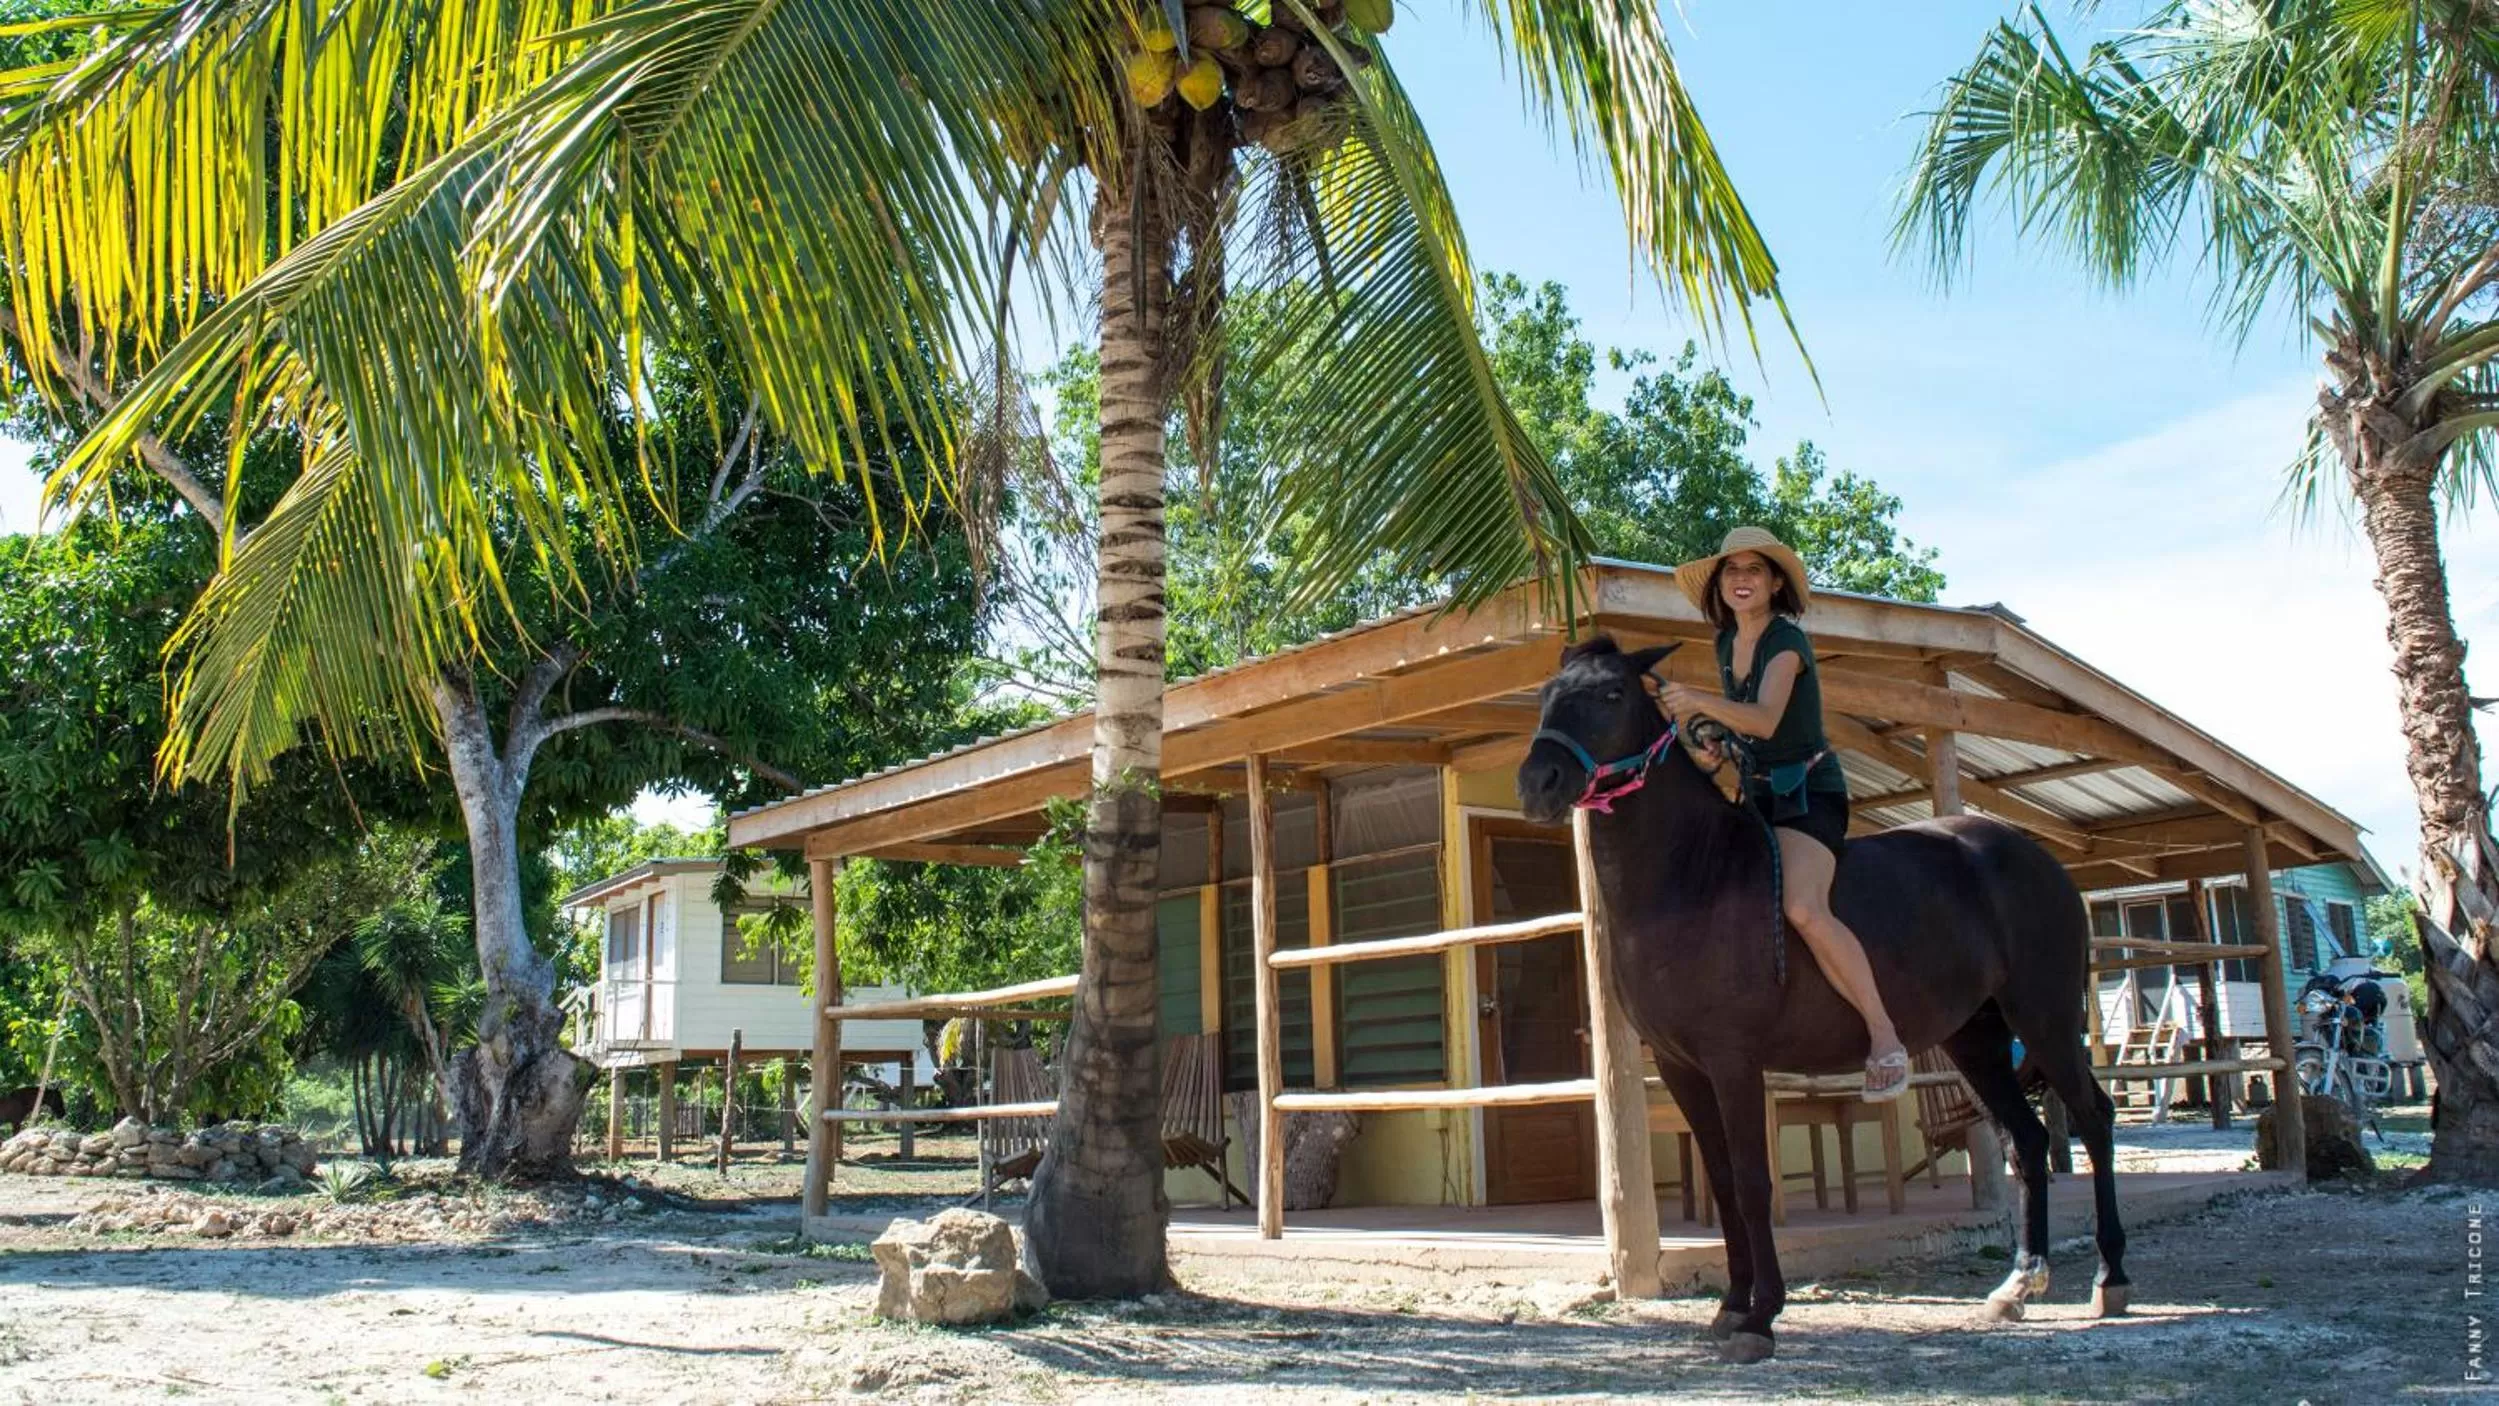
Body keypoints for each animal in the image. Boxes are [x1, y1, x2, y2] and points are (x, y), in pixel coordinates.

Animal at [1517, 635, 2128, 1363]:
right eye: (1546, 693)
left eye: (1612, 693)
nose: (1537, 783)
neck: (1691, 876)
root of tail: (2036, 859)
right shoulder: (1681, 1068)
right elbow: (1722, 1183)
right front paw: (1730, 1305)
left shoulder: (1732, 1062)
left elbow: (1753, 1183)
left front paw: (1760, 1317)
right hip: (1976, 1038)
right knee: (2028, 1139)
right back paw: (2016, 1287)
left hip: (2044, 1018)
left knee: (2094, 1118)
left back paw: (2110, 1279)